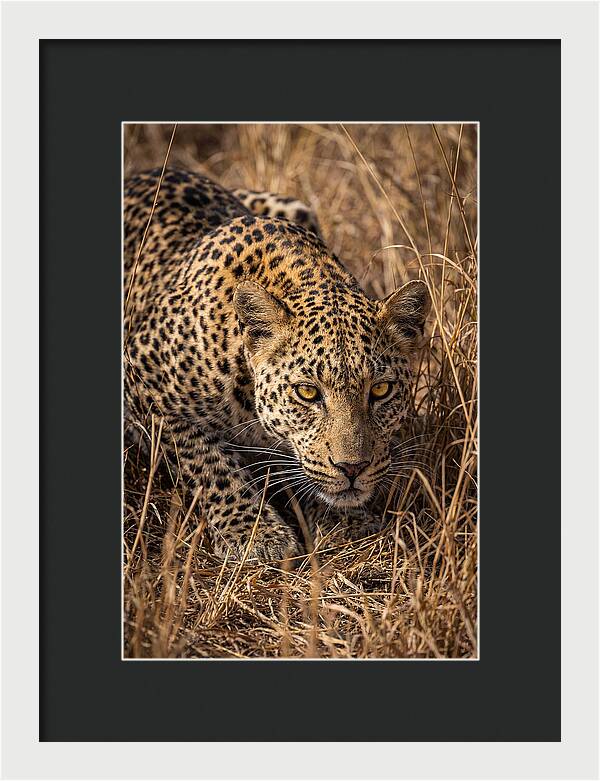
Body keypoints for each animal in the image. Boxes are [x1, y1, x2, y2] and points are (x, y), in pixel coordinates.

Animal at [124, 167, 430, 562]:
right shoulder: (141, 380)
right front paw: (254, 532)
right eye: (307, 393)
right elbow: (207, 462)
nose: (352, 468)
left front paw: (345, 522)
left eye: (380, 389)